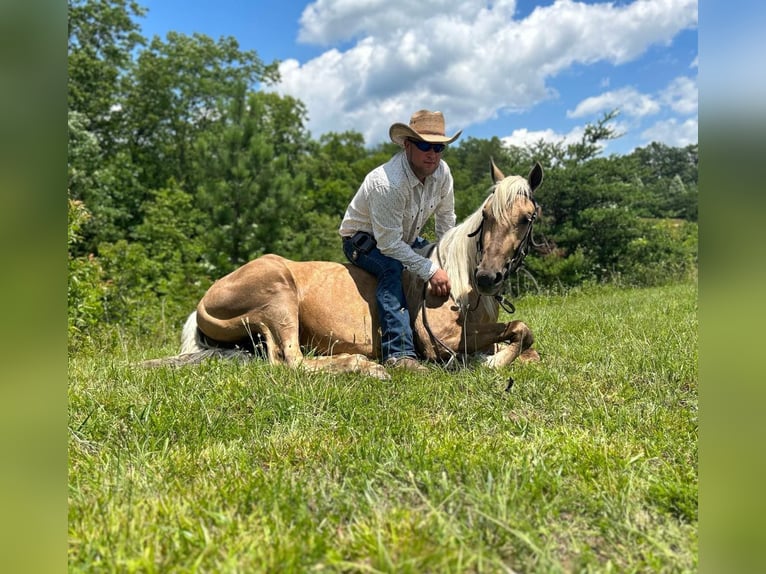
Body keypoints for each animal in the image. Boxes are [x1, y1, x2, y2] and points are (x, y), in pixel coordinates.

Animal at [146, 161, 544, 382]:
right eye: (487, 214)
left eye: (527, 218)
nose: (487, 277)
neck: (460, 288)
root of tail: (203, 302)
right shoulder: (440, 340)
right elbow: (522, 331)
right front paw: (491, 362)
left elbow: (527, 343)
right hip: (277, 296)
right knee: (292, 362)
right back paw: (366, 366)